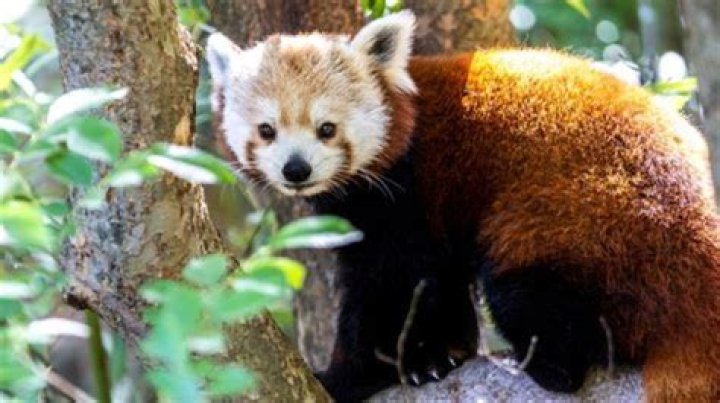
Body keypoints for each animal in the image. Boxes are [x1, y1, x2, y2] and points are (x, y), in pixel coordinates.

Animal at [206, 10, 720, 402]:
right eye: (267, 130)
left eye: (326, 128)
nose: (296, 169)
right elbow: (440, 279)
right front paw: (442, 353)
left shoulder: (404, 192)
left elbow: (388, 286)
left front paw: (346, 376)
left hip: (585, 223)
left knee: (521, 290)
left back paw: (546, 364)